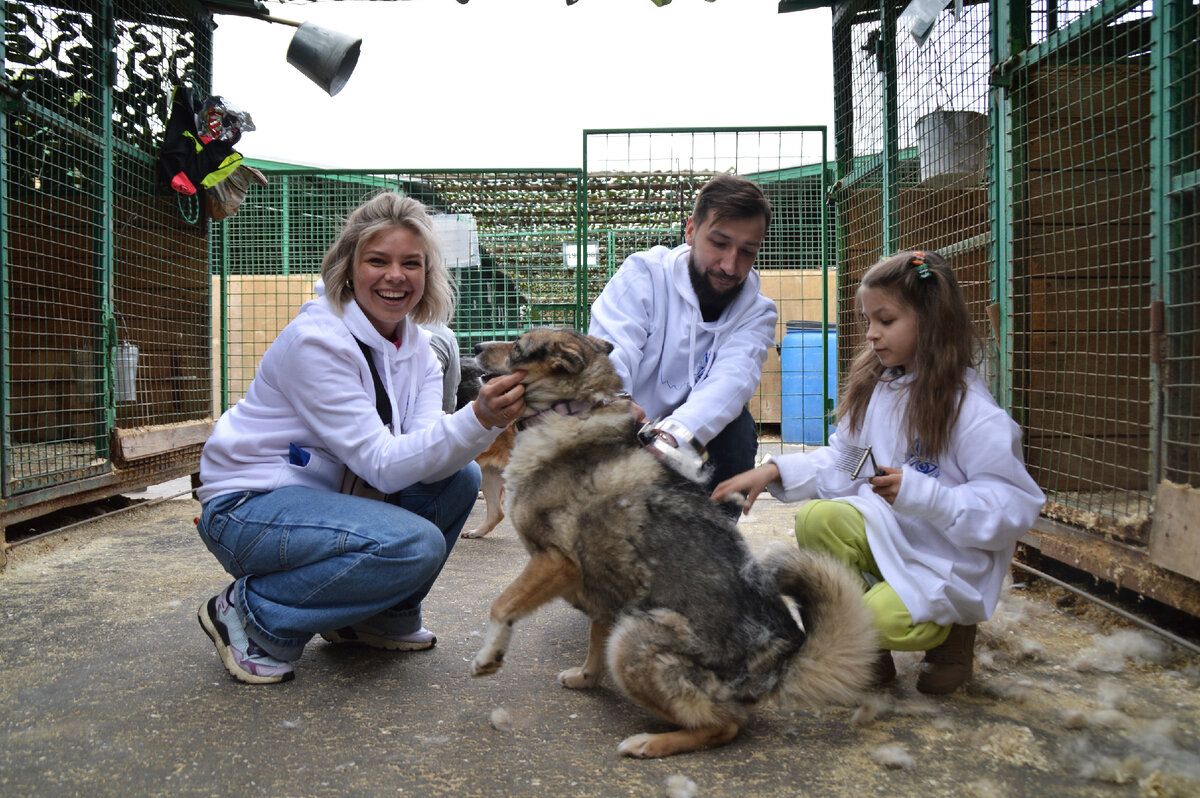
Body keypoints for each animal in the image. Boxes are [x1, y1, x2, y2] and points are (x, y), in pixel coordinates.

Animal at [465, 326, 873, 758]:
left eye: (517, 348)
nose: (475, 345)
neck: (571, 414)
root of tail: (778, 663)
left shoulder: (555, 561)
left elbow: (502, 605)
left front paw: (489, 656)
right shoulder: (605, 587)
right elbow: (594, 639)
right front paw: (587, 677)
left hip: (631, 641)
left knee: (726, 726)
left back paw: (650, 742)